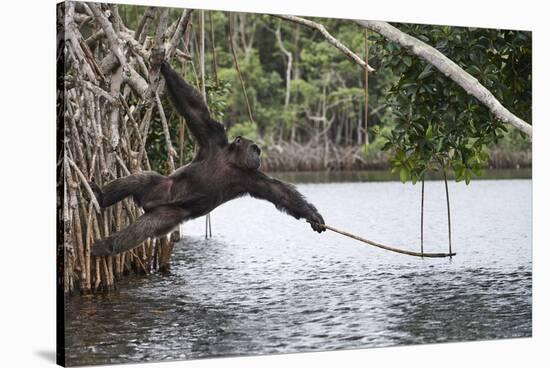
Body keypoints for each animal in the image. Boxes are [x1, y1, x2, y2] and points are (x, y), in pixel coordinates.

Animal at [89, 61, 326, 256]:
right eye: (255, 148)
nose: (258, 156)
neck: (230, 160)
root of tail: (146, 203)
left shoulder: (252, 177)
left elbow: (280, 193)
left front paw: (313, 216)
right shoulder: (213, 134)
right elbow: (193, 108)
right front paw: (165, 66)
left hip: (167, 214)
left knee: (146, 226)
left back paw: (107, 244)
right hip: (159, 188)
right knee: (140, 180)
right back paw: (101, 199)